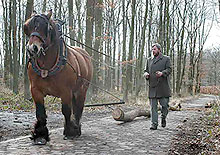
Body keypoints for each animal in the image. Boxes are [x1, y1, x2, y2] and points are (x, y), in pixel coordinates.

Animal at [23, 10, 93, 145]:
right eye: (27, 26)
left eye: (47, 28)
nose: (32, 48)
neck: (47, 66)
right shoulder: (36, 90)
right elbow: (40, 113)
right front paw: (40, 136)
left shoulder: (66, 91)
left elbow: (66, 110)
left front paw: (70, 132)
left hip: (81, 90)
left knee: (78, 109)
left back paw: (76, 129)